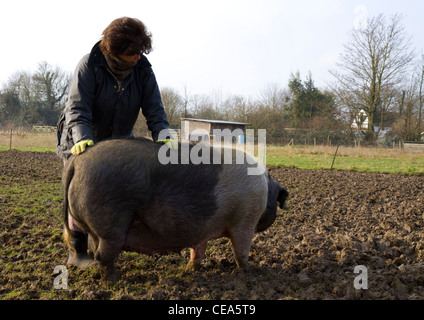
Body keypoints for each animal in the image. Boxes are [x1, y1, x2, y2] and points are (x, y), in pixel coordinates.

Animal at [62, 139, 288, 282]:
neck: (265, 189)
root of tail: (76, 161)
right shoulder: (244, 220)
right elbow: (241, 251)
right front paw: (249, 272)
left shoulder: (204, 229)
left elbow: (198, 251)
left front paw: (190, 270)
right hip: (111, 226)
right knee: (103, 256)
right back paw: (114, 282)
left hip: (96, 228)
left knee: (95, 250)